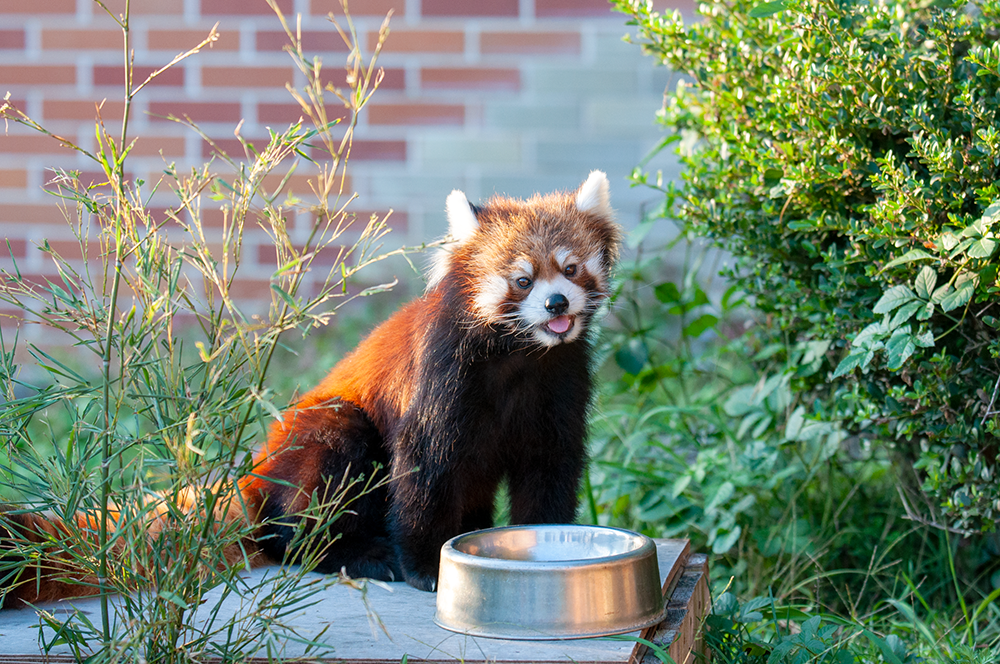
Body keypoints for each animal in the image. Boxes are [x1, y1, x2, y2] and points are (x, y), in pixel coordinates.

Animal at [0, 170, 620, 600]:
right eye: (522, 279)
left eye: (571, 269)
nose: (558, 303)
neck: (519, 358)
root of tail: (250, 477)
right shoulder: (442, 381)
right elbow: (424, 473)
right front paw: (426, 568)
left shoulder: (560, 385)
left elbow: (548, 471)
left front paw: (546, 539)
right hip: (320, 438)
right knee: (309, 501)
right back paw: (359, 554)